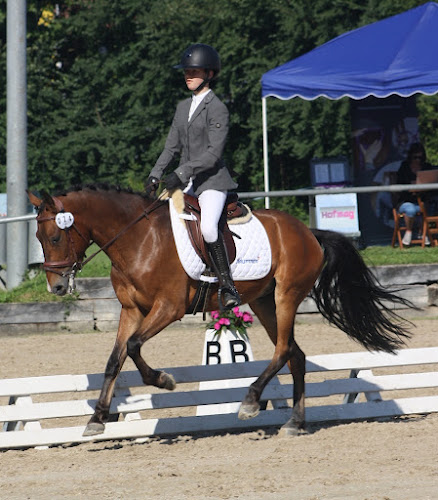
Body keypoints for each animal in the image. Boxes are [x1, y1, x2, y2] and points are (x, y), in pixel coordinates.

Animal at [26, 186, 410, 436]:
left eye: (56, 237)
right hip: (263, 301)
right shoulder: (131, 310)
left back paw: (250, 402)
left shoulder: (168, 308)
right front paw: (98, 419)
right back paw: (295, 423)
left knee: (283, 349)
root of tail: (308, 232)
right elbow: (115, 359)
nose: (56, 287)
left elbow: (134, 347)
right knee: (295, 355)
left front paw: (164, 380)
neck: (138, 239)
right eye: (38, 238)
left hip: (286, 296)